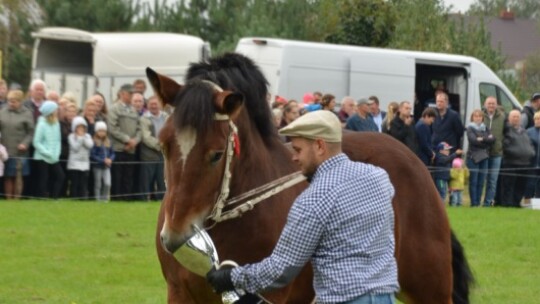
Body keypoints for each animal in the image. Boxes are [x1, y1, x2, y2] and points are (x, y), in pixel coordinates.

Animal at [148, 53, 472, 302]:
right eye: (163, 145)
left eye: (216, 154)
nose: (174, 237)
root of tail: (415, 162)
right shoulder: (180, 293)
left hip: (431, 290)